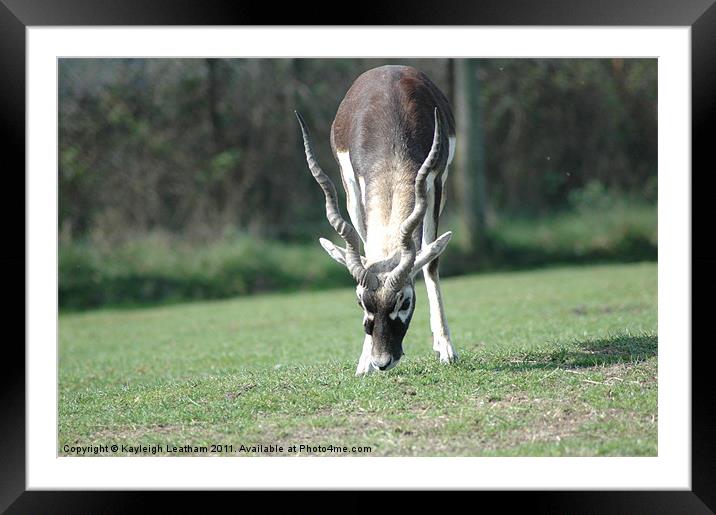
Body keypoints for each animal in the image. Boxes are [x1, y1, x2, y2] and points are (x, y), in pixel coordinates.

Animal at [296, 66, 458, 376]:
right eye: (361, 301)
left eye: (405, 301)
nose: (382, 361)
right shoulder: (353, 186)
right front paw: (363, 364)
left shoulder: (434, 182)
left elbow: (430, 260)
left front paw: (446, 348)